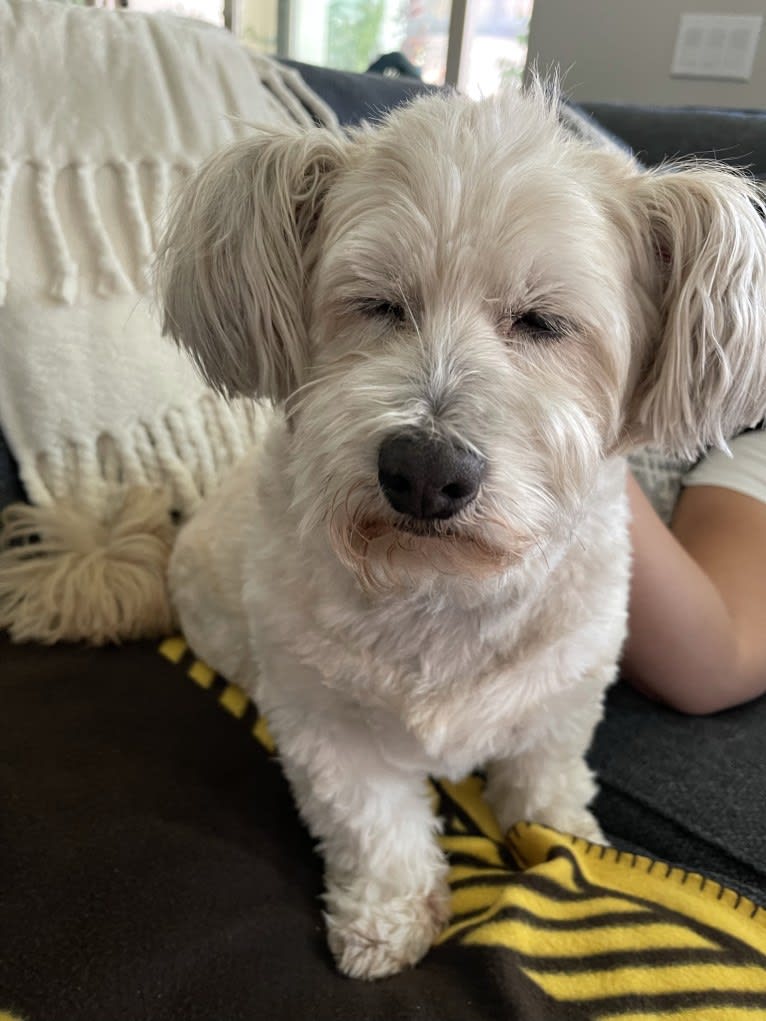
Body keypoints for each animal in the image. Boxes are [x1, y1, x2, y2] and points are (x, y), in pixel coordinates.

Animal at [156, 87, 766, 980]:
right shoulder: (324, 722)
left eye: (543, 322)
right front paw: (388, 915)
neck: (441, 584)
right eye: (378, 303)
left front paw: (570, 840)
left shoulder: (563, 696)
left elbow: (545, 782)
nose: (423, 468)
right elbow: (375, 825)